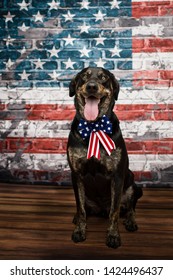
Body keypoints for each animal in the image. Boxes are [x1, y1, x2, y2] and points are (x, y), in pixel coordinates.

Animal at [67, 66, 143, 248]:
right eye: (84, 77)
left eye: (103, 78)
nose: (91, 86)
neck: (93, 126)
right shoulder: (76, 174)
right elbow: (81, 208)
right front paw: (79, 231)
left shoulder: (117, 175)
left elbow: (114, 212)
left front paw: (113, 235)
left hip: (132, 183)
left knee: (130, 207)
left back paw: (131, 221)